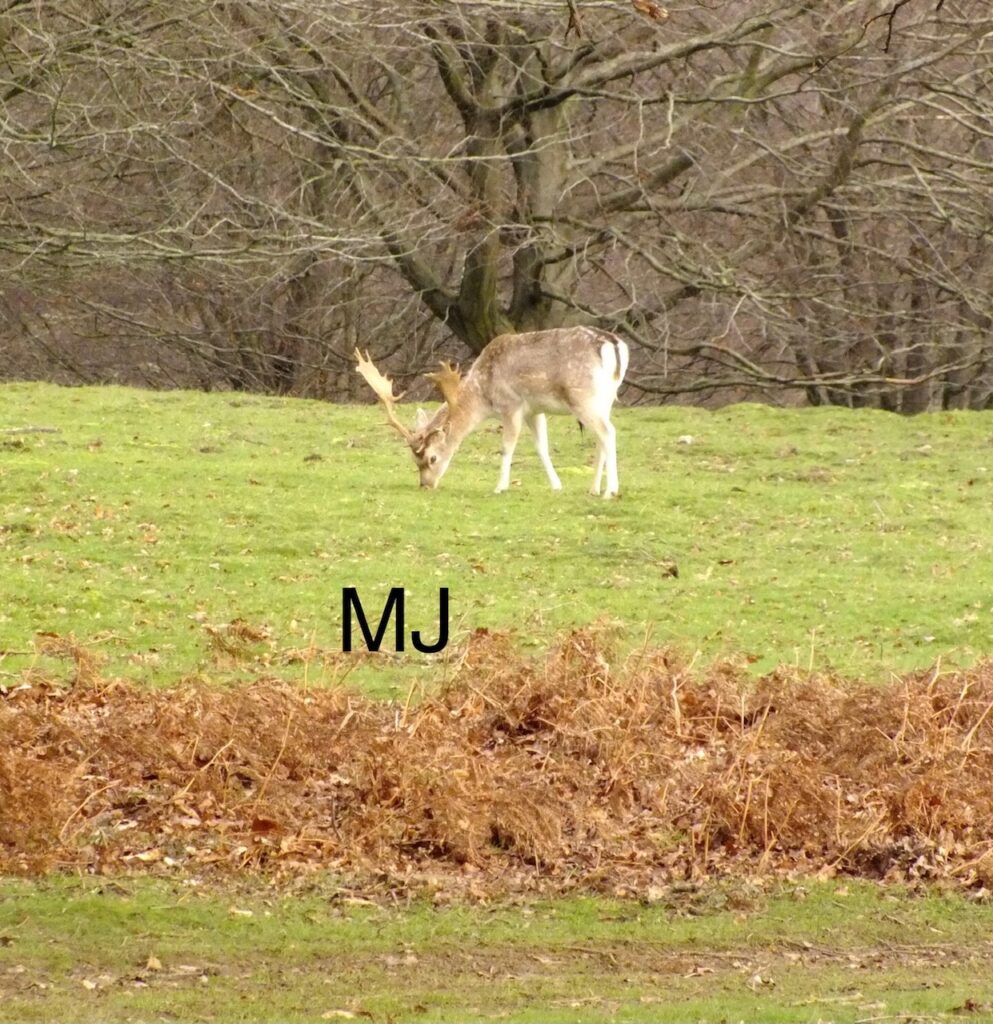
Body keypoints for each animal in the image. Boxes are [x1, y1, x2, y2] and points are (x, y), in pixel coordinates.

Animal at [354, 327, 629, 497]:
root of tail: (615, 346)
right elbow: (542, 447)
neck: (483, 396)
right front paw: (556, 485)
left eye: (432, 458)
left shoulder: (511, 405)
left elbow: (507, 447)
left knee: (609, 433)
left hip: (583, 396)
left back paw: (610, 491)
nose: (425, 485)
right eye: (414, 460)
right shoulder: (534, 410)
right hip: (604, 399)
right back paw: (594, 489)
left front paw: (500, 487)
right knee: (601, 437)